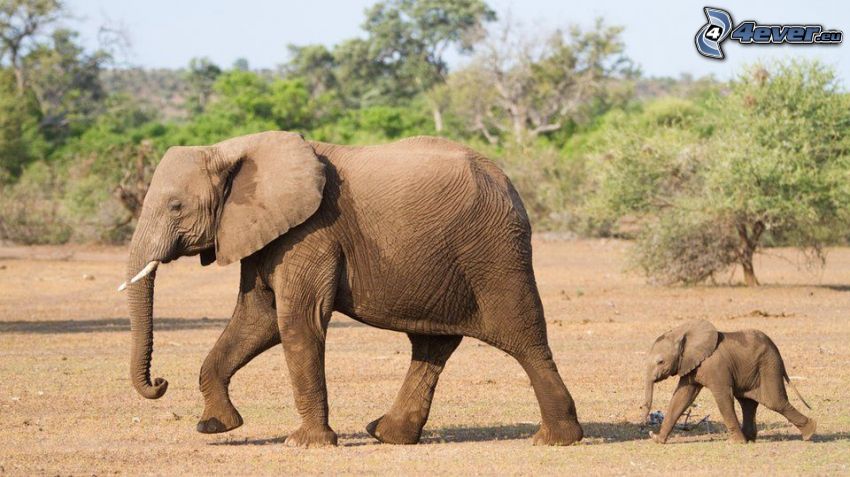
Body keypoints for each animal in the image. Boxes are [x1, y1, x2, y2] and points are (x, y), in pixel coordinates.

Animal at [119, 131, 580, 446]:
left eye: (175, 206)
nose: (160, 382)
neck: (231, 149)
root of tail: (509, 184)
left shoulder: (311, 232)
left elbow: (297, 322)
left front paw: (305, 444)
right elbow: (257, 319)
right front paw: (215, 426)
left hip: (495, 252)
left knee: (524, 339)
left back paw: (556, 439)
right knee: (432, 346)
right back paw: (387, 434)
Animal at [640, 320, 812, 442]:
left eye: (660, 362)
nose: (644, 428)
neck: (681, 333)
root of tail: (778, 354)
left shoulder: (715, 365)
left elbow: (722, 396)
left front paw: (737, 443)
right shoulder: (691, 364)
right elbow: (682, 396)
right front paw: (657, 440)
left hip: (769, 366)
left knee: (775, 402)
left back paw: (810, 433)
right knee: (748, 403)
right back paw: (750, 439)